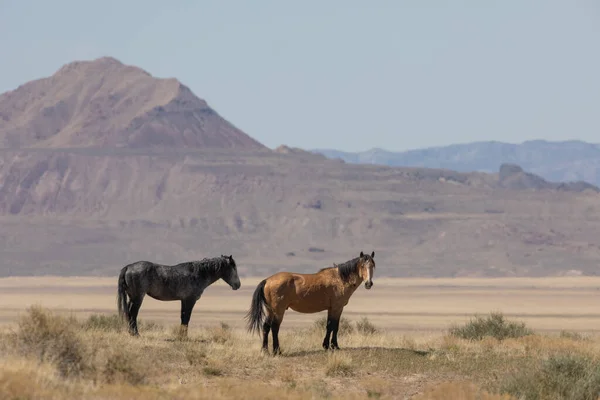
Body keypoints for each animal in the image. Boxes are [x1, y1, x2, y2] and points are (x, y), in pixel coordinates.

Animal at [245, 252, 376, 354]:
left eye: (373, 266)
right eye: (363, 266)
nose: (368, 284)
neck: (340, 279)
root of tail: (267, 280)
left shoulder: (331, 308)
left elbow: (330, 325)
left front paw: (327, 345)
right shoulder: (337, 308)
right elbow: (334, 326)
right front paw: (333, 346)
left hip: (270, 310)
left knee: (266, 327)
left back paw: (265, 350)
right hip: (278, 311)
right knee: (275, 327)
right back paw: (277, 351)